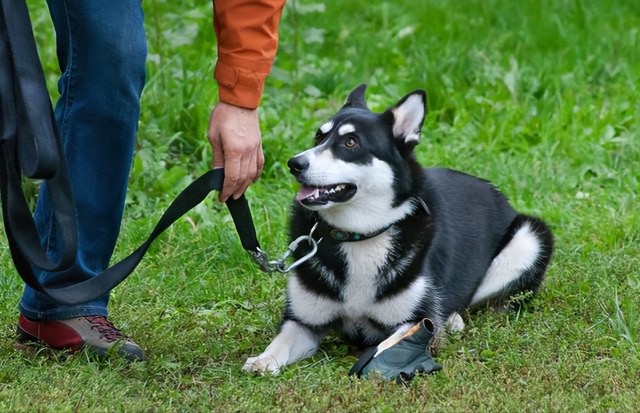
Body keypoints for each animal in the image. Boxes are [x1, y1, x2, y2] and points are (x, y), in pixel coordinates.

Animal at [242, 83, 552, 374]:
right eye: (319, 136)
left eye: (351, 142)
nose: (294, 163)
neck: (360, 236)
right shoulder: (303, 321)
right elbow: (281, 340)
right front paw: (263, 359)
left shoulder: (415, 322)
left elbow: (388, 344)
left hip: (530, 238)